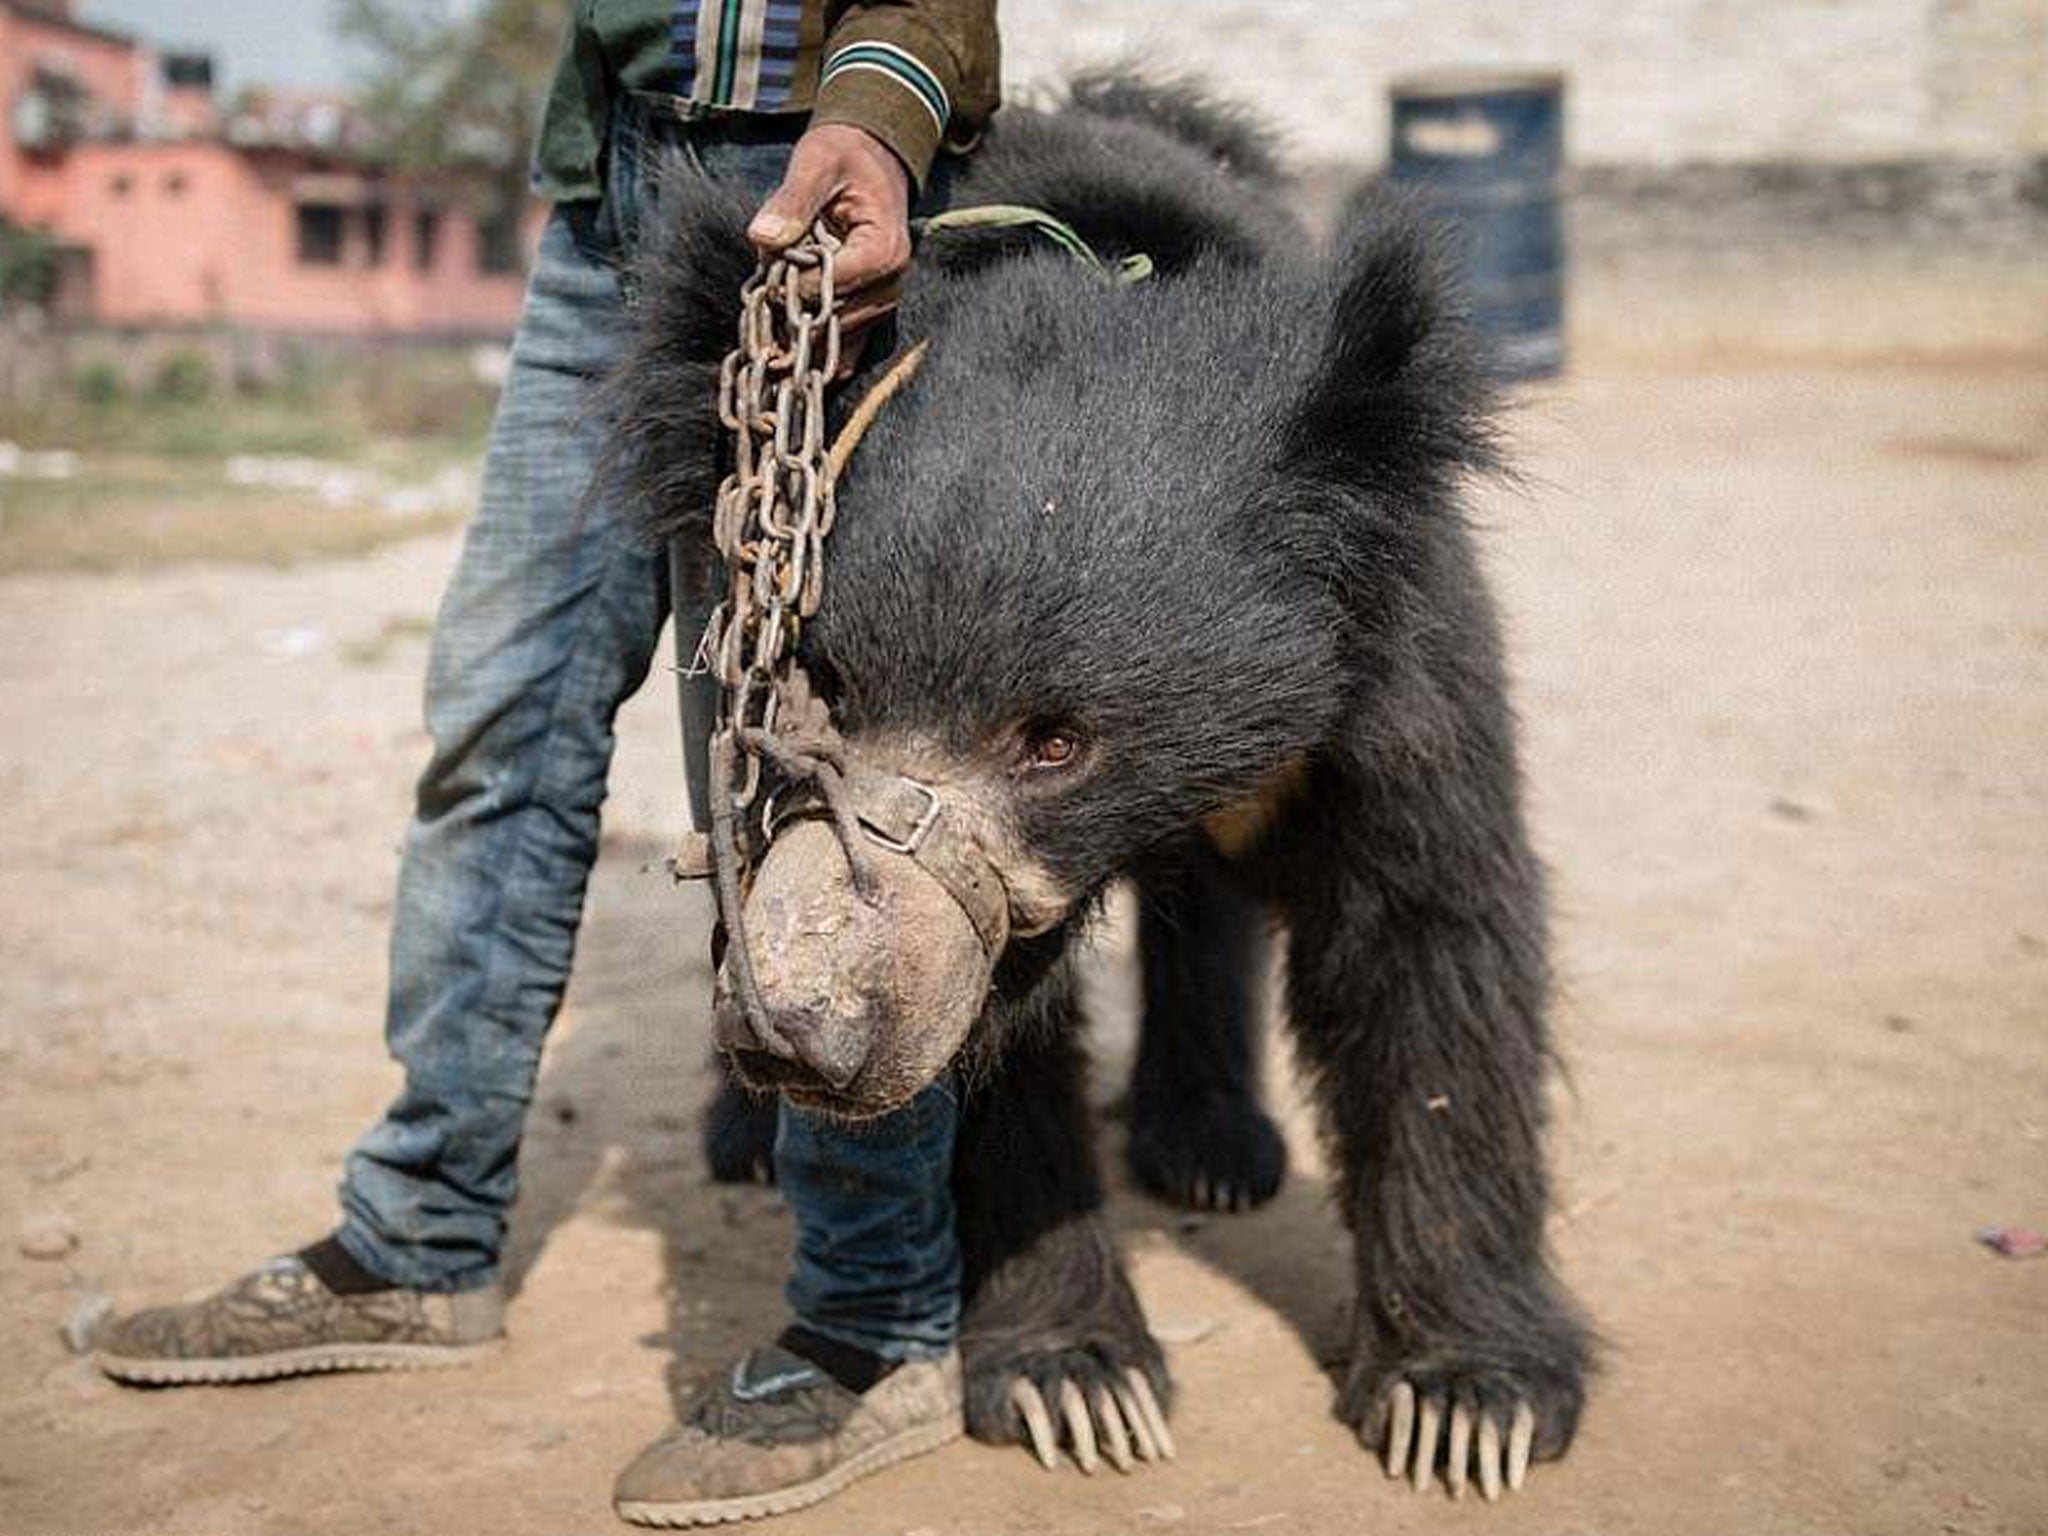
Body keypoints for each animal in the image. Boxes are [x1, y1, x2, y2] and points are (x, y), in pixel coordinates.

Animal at [606, 75, 1597, 1507]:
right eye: (821, 688)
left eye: (1055, 742)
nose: (808, 1037)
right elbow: (987, 1047)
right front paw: (1079, 1384)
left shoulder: (1387, 664)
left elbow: (1426, 934)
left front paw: (1465, 1405)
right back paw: (743, 1139)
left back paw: (1212, 1147)